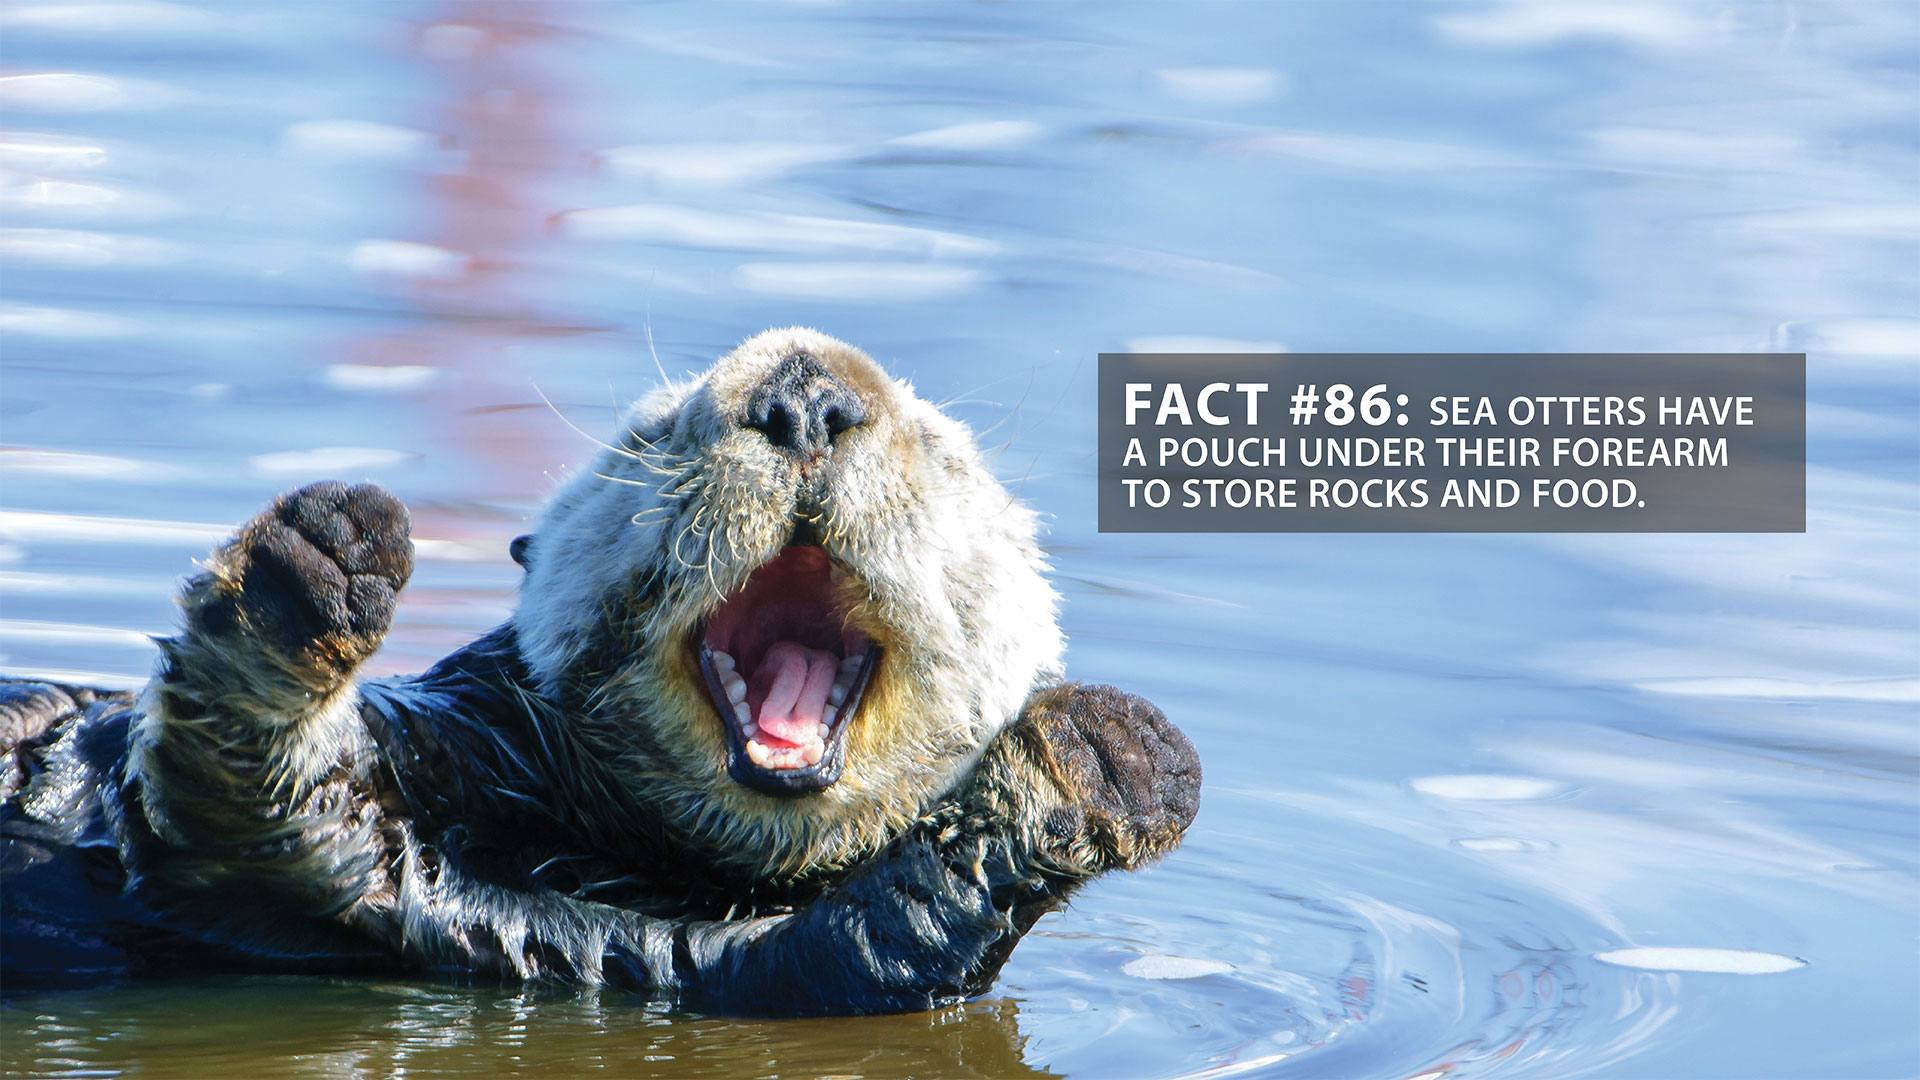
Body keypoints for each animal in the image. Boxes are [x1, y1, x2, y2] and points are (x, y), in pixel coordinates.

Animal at [0, 328, 1200, 1015]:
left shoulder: (635, 955)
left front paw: (1101, 760)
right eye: (653, 432)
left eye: (946, 454)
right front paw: (319, 564)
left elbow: (854, 949)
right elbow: (229, 791)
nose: (807, 397)